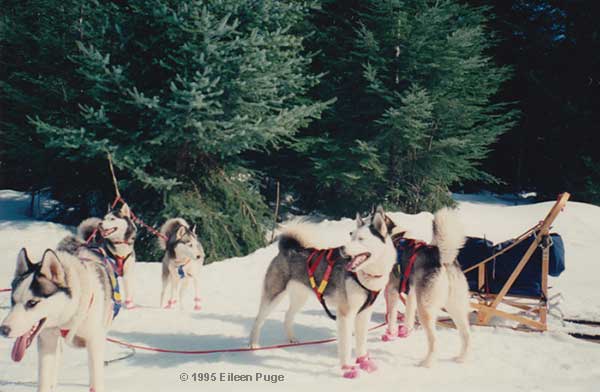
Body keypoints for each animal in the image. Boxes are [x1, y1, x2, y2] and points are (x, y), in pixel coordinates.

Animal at [250, 207, 398, 378]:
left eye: (361, 239)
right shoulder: (345, 314)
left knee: (287, 316)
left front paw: (363, 362)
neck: (364, 275)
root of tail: (288, 249)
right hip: (273, 296)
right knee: (258, 320)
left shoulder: (364, 313)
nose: (342, 249)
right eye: (351, 235)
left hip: (300, 297)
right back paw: (253, 344)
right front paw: (347, 368)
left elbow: (361, 343)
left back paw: (291, 339)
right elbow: (346, 345)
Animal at [382, 208, 472, 368]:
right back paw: (462, 358)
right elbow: (408, 315)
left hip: (425, 308)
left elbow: (391, 316)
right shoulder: (411, 293)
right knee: (466, 334)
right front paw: (406, 331)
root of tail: (441, 257)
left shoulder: (392, 290)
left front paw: (390, 333)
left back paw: (427, 362)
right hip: (455, 306)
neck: (396, 237)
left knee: (434, 340)